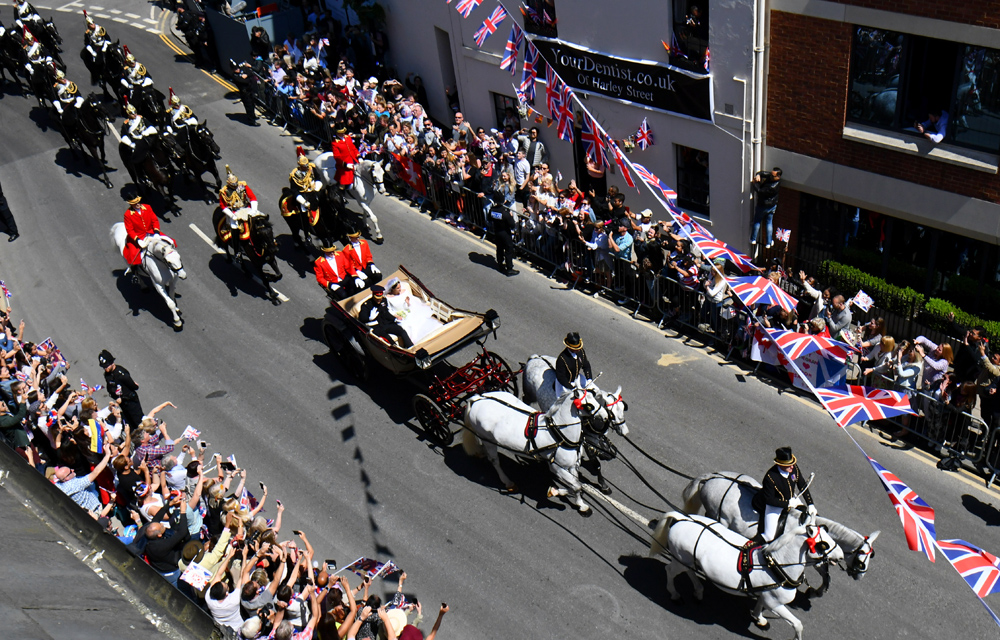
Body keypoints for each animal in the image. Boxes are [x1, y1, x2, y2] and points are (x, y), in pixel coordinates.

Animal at [464, 384, 620, 516]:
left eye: (595, 398)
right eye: (588, 406)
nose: (606, 416)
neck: (558, 433)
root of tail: (477, 398)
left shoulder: (572, 466)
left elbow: (576, 485)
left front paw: (578, 503)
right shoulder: (556, 467)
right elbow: (577, 486)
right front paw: (560, 494)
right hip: (487, 439)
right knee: (495, 461)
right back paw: (508, 482)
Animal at [524, 352, 624, 492]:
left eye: (623, 408)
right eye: (612, 413)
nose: (625, 431)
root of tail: (536, 357)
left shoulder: (594, 438)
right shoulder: (586, 439)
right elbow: (596, 463)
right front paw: (603, 484)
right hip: (529, 395)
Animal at [648, 510, 844, 640]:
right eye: (824, 544)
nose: (841, 555)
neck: (775, 564)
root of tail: (681, 518)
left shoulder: (765, 596)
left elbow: (760, 605)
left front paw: (759, 619)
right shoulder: (775, 603)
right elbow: (797, 623)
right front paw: (796, 637)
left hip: (688, 559)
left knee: (689, 571)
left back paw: (698, 591)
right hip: (681, 559)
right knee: (670, 571)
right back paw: (675, 594)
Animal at [684, 470, 880, 592]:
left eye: (871, 556)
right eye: (862, 560)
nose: (860, 575)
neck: (804, 526)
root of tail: (711, 477)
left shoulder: (815, 557)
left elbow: (826, 575)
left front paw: (816, 592)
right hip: (720, 517)